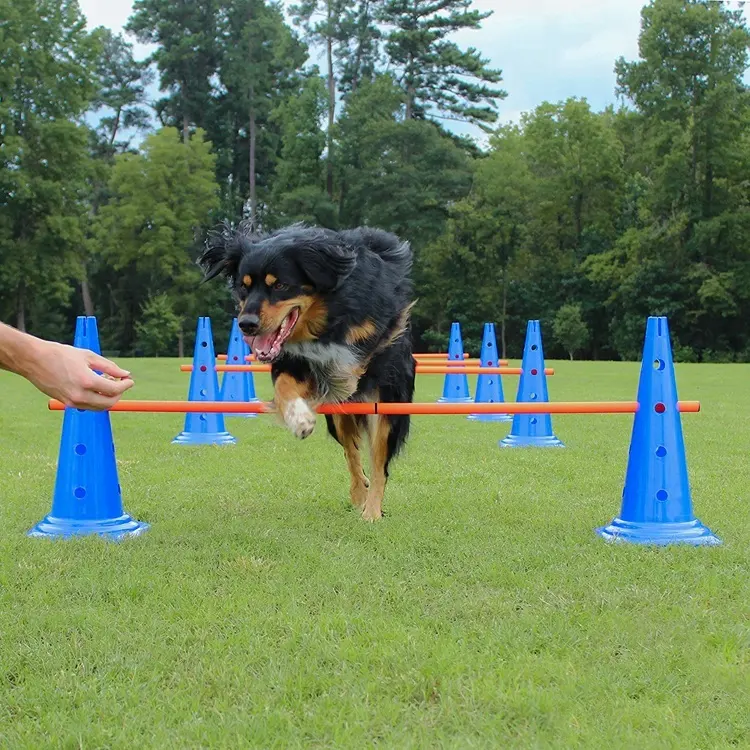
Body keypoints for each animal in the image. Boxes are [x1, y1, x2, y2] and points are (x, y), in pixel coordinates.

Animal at [200, 220, 418, 520]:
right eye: (244, 287)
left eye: (280, 285)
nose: (246, 324)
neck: (324, 318)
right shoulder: (290, 359)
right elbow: (285, 387)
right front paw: (299, 419)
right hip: (339, 419)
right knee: (352, 453)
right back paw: (359, 493)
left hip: (388, 405)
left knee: (378, 462)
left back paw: (371, 511)